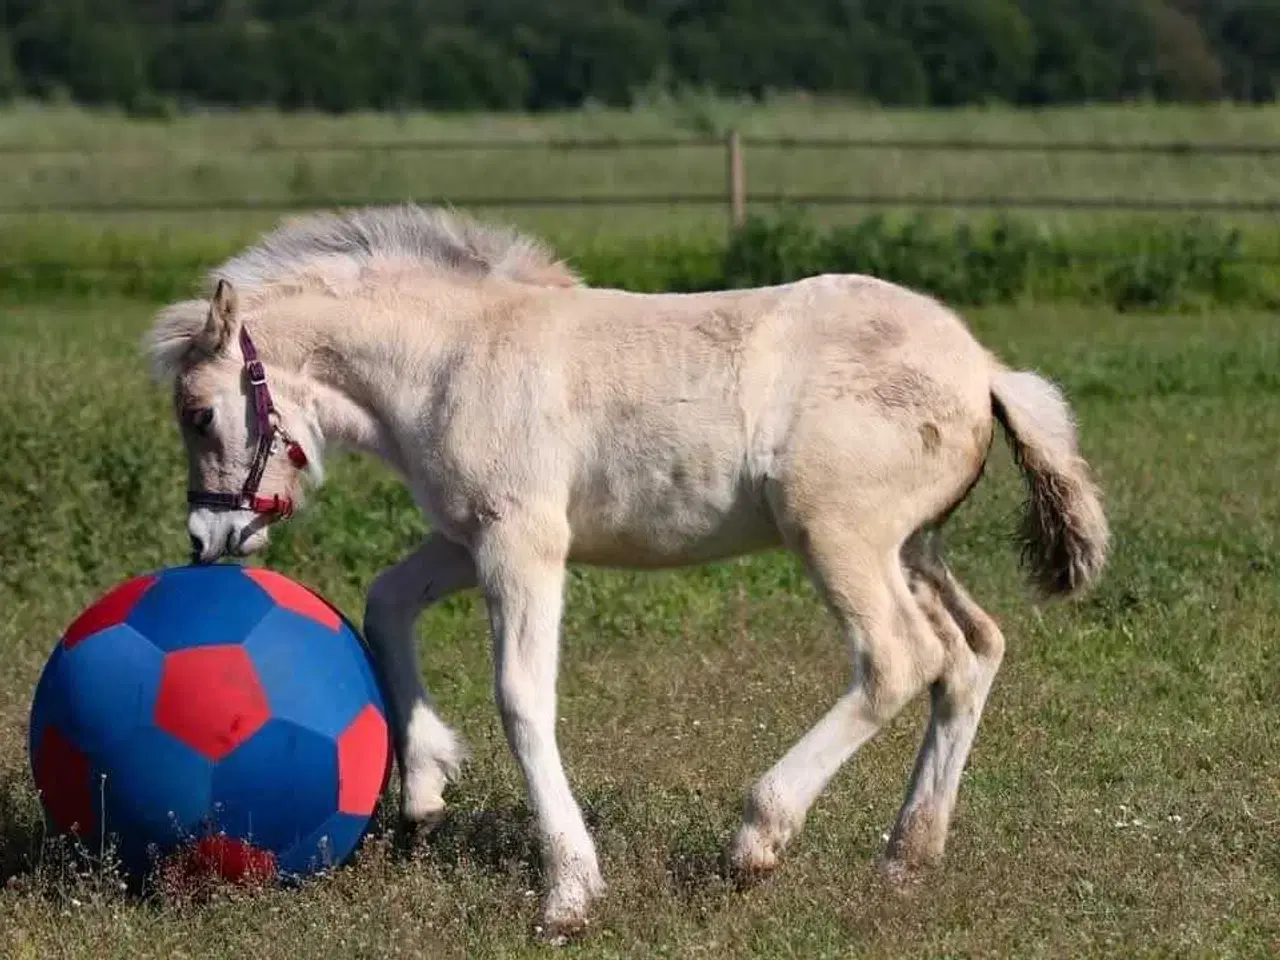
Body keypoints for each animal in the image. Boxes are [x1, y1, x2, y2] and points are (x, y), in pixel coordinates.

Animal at [145, 203, 1108, 940]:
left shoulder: (522, 541)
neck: (451, 361)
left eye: (199, 414)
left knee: (901, 659)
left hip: (839, 534)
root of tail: (984, 370)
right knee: (972, 650)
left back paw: (757, 839)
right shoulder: (466, 538)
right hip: (912, 548)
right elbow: (385, 603)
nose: (208, 536)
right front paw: (424, 786)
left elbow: (522, 697)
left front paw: (568, 894)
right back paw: (907, 856)